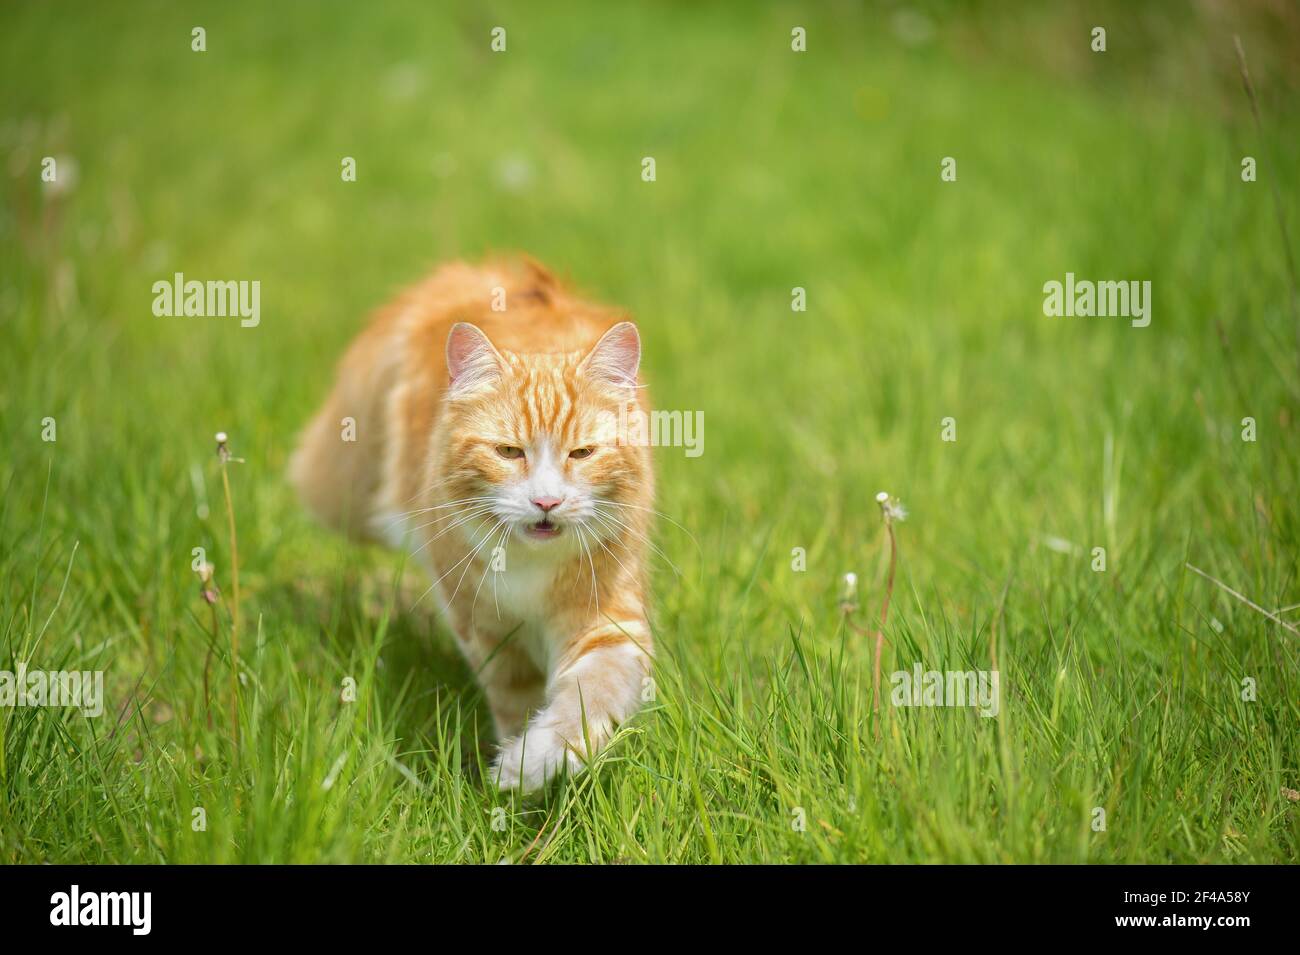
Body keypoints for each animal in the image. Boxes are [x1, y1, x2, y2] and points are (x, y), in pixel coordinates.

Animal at [291, 259, 655, 789]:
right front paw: (510, 768)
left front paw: (532, 763)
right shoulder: (484, 629)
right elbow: (515, 698)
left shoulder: (606, 624)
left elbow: (586, 702)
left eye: (582, 453)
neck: (531, 568)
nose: (547, 501)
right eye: (508, 451)